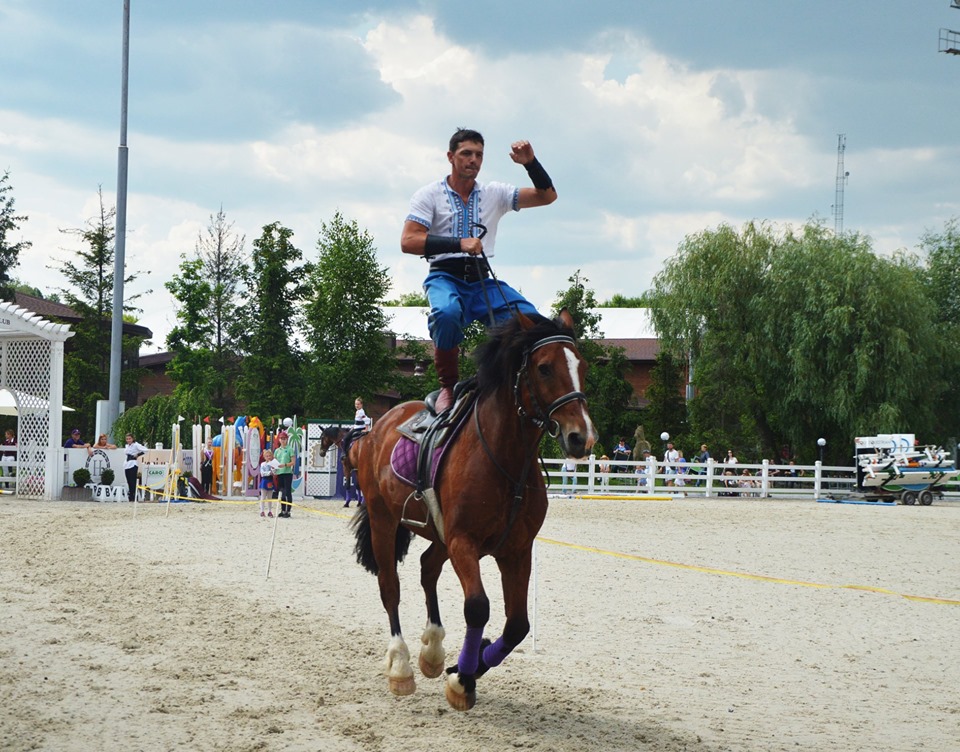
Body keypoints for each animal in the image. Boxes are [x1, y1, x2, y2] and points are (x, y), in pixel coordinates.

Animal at [350, 309, 596, 710]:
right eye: (544, 368)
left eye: (583, 366)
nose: (581, 437)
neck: (506, 459)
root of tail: (376, 428)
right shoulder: (463, 542)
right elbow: (478, 607)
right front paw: (462, 679)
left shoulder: (516, 549)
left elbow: (518, 625)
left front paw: (467, 665)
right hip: (383, 520)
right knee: (390, 586)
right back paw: (401, 665)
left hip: (439, 536)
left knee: (427, 568)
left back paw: (433, 651)